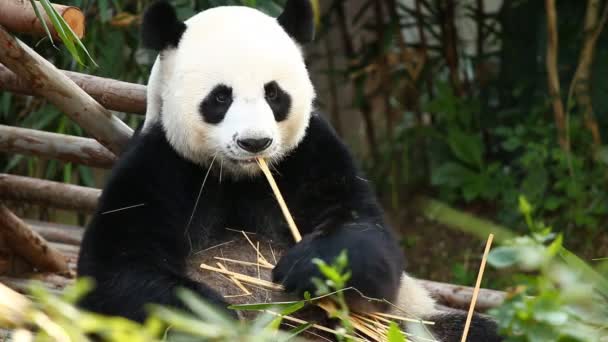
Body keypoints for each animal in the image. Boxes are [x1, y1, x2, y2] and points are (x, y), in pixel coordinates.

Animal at [76, 1, 502, 340]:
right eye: (220, 97)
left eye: (273, 93)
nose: (255, 143)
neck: (240, 178)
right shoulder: (159, 163)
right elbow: (118, 271)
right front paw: (216, 317)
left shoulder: (310, 155)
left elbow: (369, 238)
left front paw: (307, 266)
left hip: (413, 319)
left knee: (469, 329)